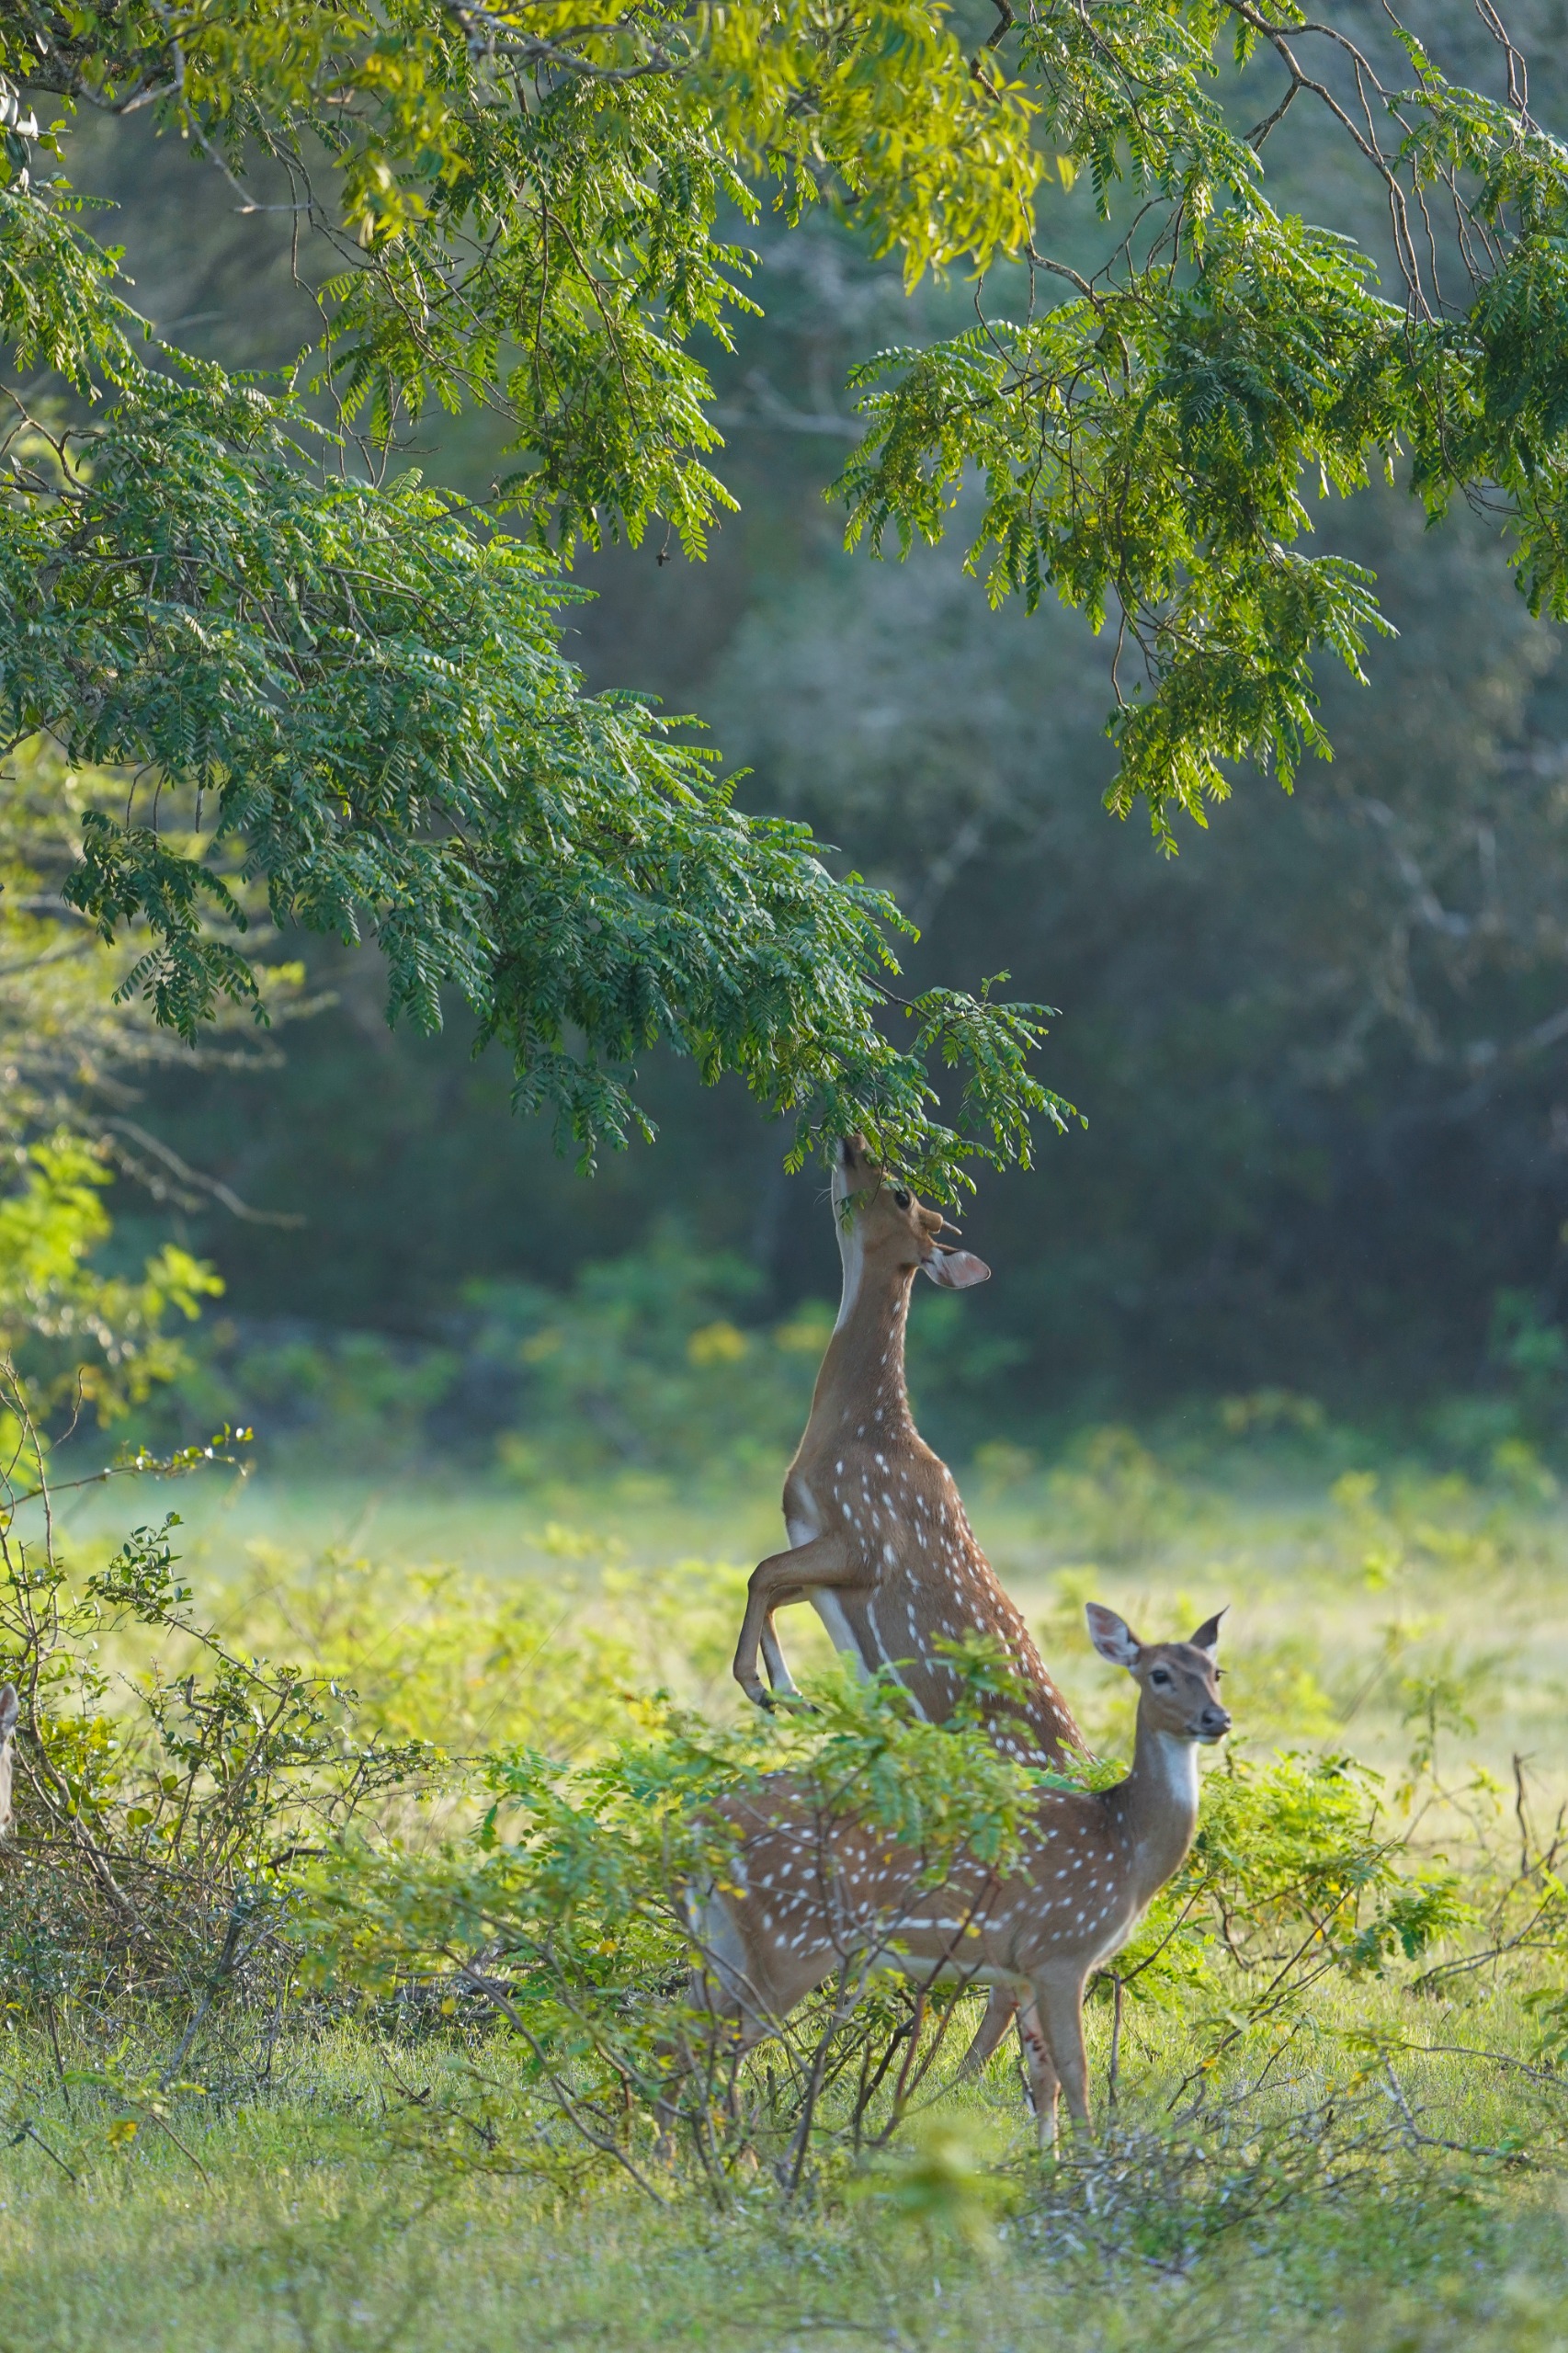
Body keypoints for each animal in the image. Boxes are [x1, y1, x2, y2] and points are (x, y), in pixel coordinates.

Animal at [682, 1605, 1229, 2145]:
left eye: (1215, 1672)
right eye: (1159, 1674)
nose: (1216, 1718)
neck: (1123, 1845)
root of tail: (700, 1824)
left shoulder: (1021, 1967)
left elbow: (1044, 2079)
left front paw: (1045, 2161)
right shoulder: (1061, 1948)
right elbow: (1077, 2073)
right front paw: (1085, 2163)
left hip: (728, 1939)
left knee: (685, 2029)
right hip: (790, 1941)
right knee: (717, 2040)